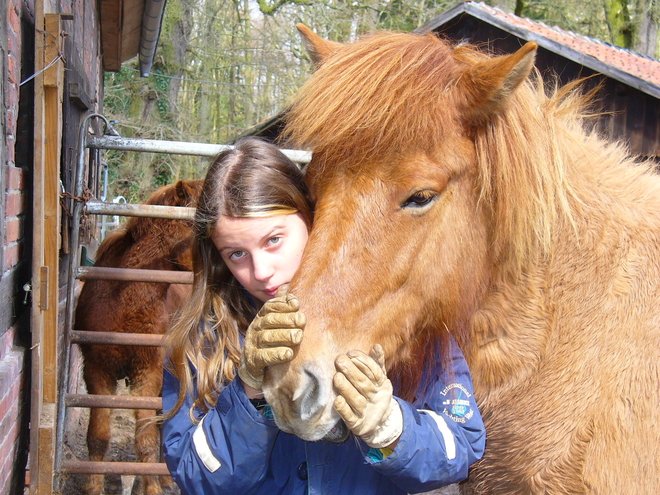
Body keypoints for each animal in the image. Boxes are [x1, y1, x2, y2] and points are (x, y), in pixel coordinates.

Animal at [75, 180, 202, 495]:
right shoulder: (97, 372)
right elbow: (98, 436)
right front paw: (93, 486)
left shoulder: (148, 373)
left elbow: (145, 441)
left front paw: (152, 486)